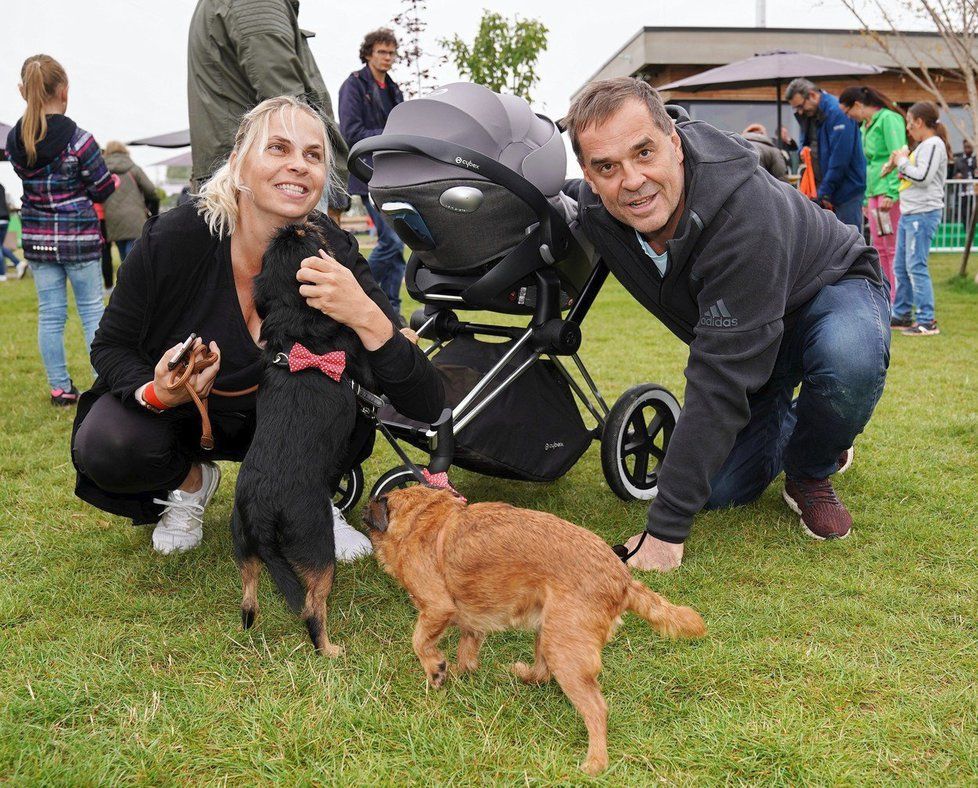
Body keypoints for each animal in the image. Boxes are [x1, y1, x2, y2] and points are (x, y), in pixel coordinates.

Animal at [231, 220, 376, 652]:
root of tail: (261, 507)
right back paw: (329, 649)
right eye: (310, 235)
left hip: (242, 541)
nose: (301, 220)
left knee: (248, 590)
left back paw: (250, 624)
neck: (297, 324)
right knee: (313, 606)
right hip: (315, 543)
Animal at [358, 486, 700, 776]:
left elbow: (420, 641)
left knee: (596, 709)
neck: (421, 517)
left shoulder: (436, 608)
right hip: (548, 633)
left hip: (565, 652)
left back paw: (596, 761)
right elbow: (467, 650)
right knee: (542, 672)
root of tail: (623, 579)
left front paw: (435, 669)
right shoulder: (471, 621)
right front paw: (457, 670)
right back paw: (524, 674)